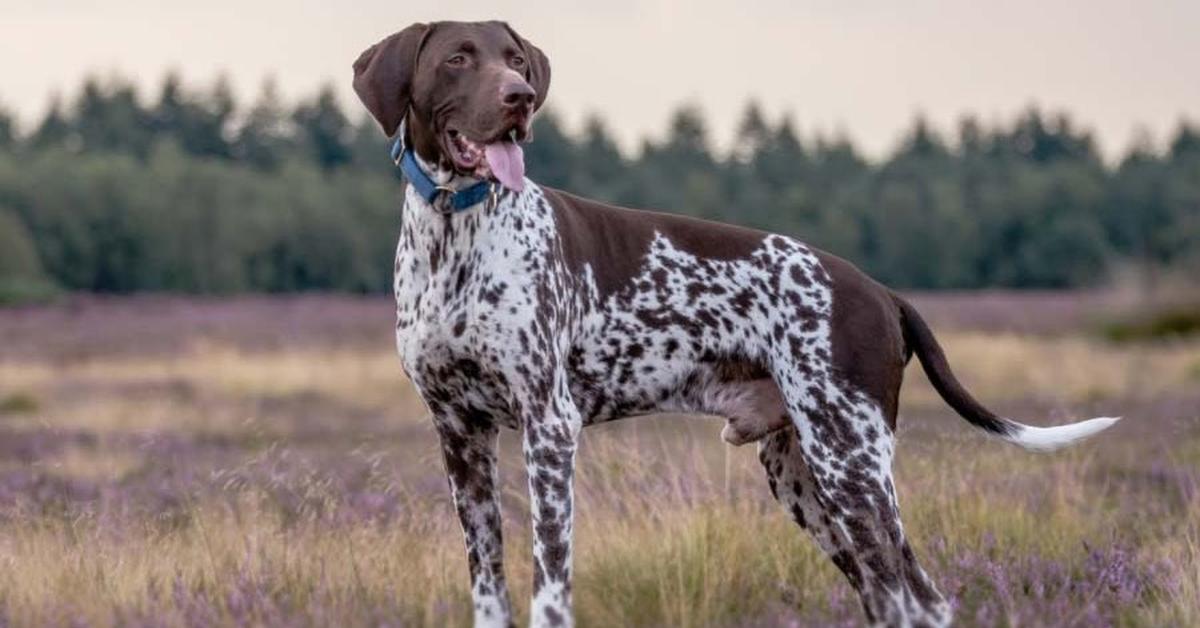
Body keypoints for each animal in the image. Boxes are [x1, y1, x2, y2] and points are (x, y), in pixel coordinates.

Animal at [350, 19, 1118, 628]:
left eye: (515, 59)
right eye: (458, 58)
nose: (520, 98)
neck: (454, 234)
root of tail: (881, 292)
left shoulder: (549, 429)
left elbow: (550, 586)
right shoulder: (460, 436)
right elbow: (489, 587)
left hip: (852, 465)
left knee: (918, 598)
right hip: (803, 477)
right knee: (886, 596)